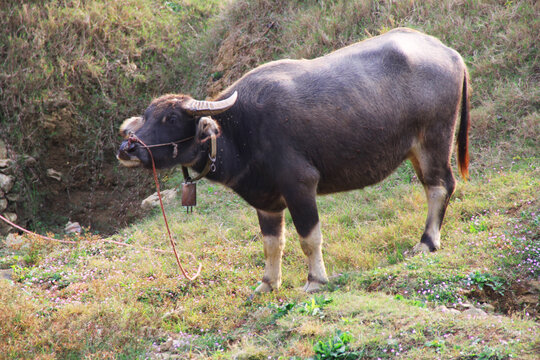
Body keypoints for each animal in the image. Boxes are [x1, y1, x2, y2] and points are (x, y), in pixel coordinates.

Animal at [117, 28, 468, 292]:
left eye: (172, 118)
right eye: (147, 115)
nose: (127, 148)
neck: (240, 131)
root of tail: (450, 53)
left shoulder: (300, 185)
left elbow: (309, 238)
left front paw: (315, 280)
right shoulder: (266, 201)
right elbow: (272, 244)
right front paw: (268, 283)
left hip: (434, 140)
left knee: (440, 186)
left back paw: (427, 242)